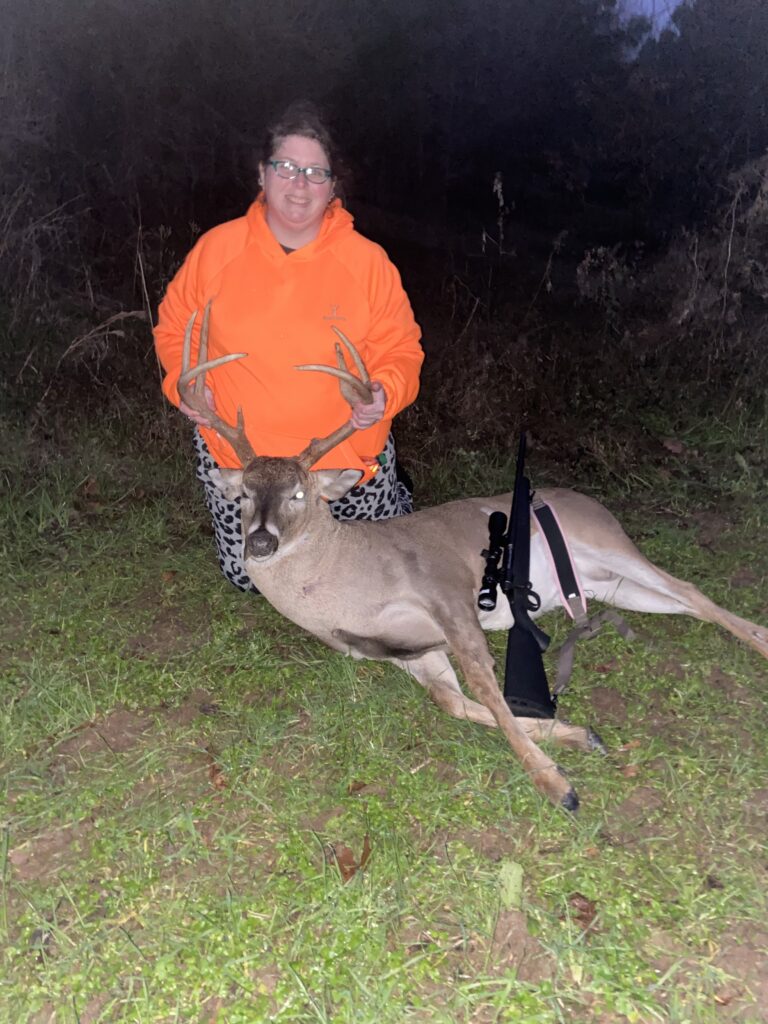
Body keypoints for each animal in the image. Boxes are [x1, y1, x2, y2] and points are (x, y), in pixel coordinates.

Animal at [178, 304, 768, 812]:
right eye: (244, 494)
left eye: (300, 494)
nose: (260, 543)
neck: (353, 586)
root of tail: (590, 501)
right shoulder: (408, 651)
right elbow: (458, 704)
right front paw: (579, 735)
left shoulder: (446, 595)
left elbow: (487, 687)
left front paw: (555, 784)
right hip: (605, 584)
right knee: (682, 601)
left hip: (606, 541)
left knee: (690, 589)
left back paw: (760, 641)